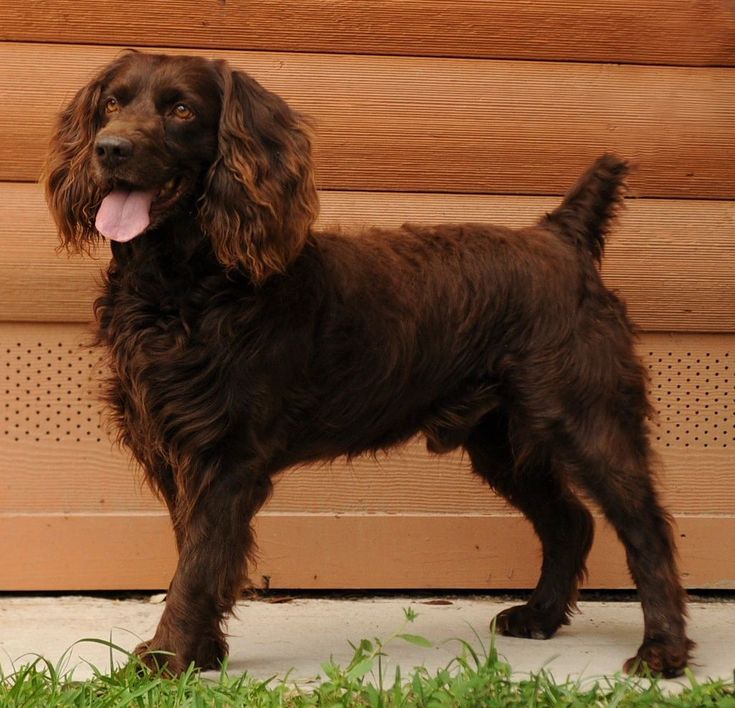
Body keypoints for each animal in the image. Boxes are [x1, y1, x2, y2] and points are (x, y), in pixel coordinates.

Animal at [44, 49, 688, 676]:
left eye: (181, 109)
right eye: (110, 104)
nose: (110, 149)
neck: (184, 289)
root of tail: (561, 237)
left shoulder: (225, 455)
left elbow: (199, 562)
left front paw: (167, 657)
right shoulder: (174, 449)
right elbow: (200, 553)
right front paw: (202, 653)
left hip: (585, 417)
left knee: (647, 530)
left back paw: (663, 650)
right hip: (499, 439)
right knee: (570, 522)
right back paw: (540, 616)